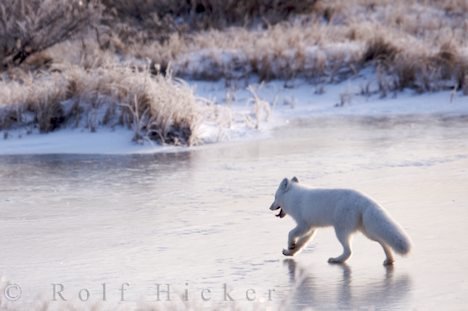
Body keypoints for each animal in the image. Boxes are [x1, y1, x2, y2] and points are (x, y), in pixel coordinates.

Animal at [268, 178, 412, 266]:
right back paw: (389, 260)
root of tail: (364, 199)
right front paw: (290, 251)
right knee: (383, 242)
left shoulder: (304, 225)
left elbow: (291, 233)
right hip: (367, 232)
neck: (294, 198)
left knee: (349, 252)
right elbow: (301, 244)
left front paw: (290, 244)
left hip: (341, 231)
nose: (269, 207)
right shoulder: (311, 229)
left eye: (275, 197)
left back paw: (336, 260)